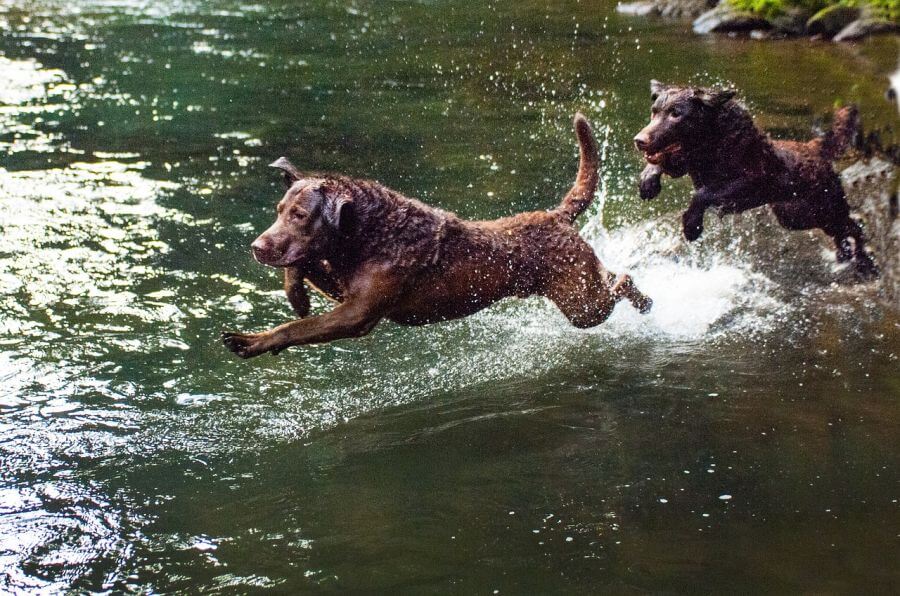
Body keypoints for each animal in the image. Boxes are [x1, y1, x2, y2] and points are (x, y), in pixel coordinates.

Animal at [221, 115, 652, 358]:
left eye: (300, 215)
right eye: (278, 211)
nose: (256, 246)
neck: (372, 232)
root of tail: (554, 215)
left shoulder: (357, 314)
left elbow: (296, 328)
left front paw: (250, 341)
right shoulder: (344, 288)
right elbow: (305, 265)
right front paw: (296, 295)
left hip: (583, 305)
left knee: (620, 280)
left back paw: (643, 298)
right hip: (580, 295)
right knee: (610, 275)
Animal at [628, 80, 876, 278]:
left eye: (676, 113)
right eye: (654, 111)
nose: (639, 140)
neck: (712, 142)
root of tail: (816, 147)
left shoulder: (749, 183)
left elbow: (702, 194)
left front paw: (692, 226)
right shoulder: (684, 163)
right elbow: (661, 163)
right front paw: (648, 183)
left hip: (824, 208)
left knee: (854, 228)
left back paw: (865, 263)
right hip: (795, 215)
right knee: (841, 231)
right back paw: (844, 255)